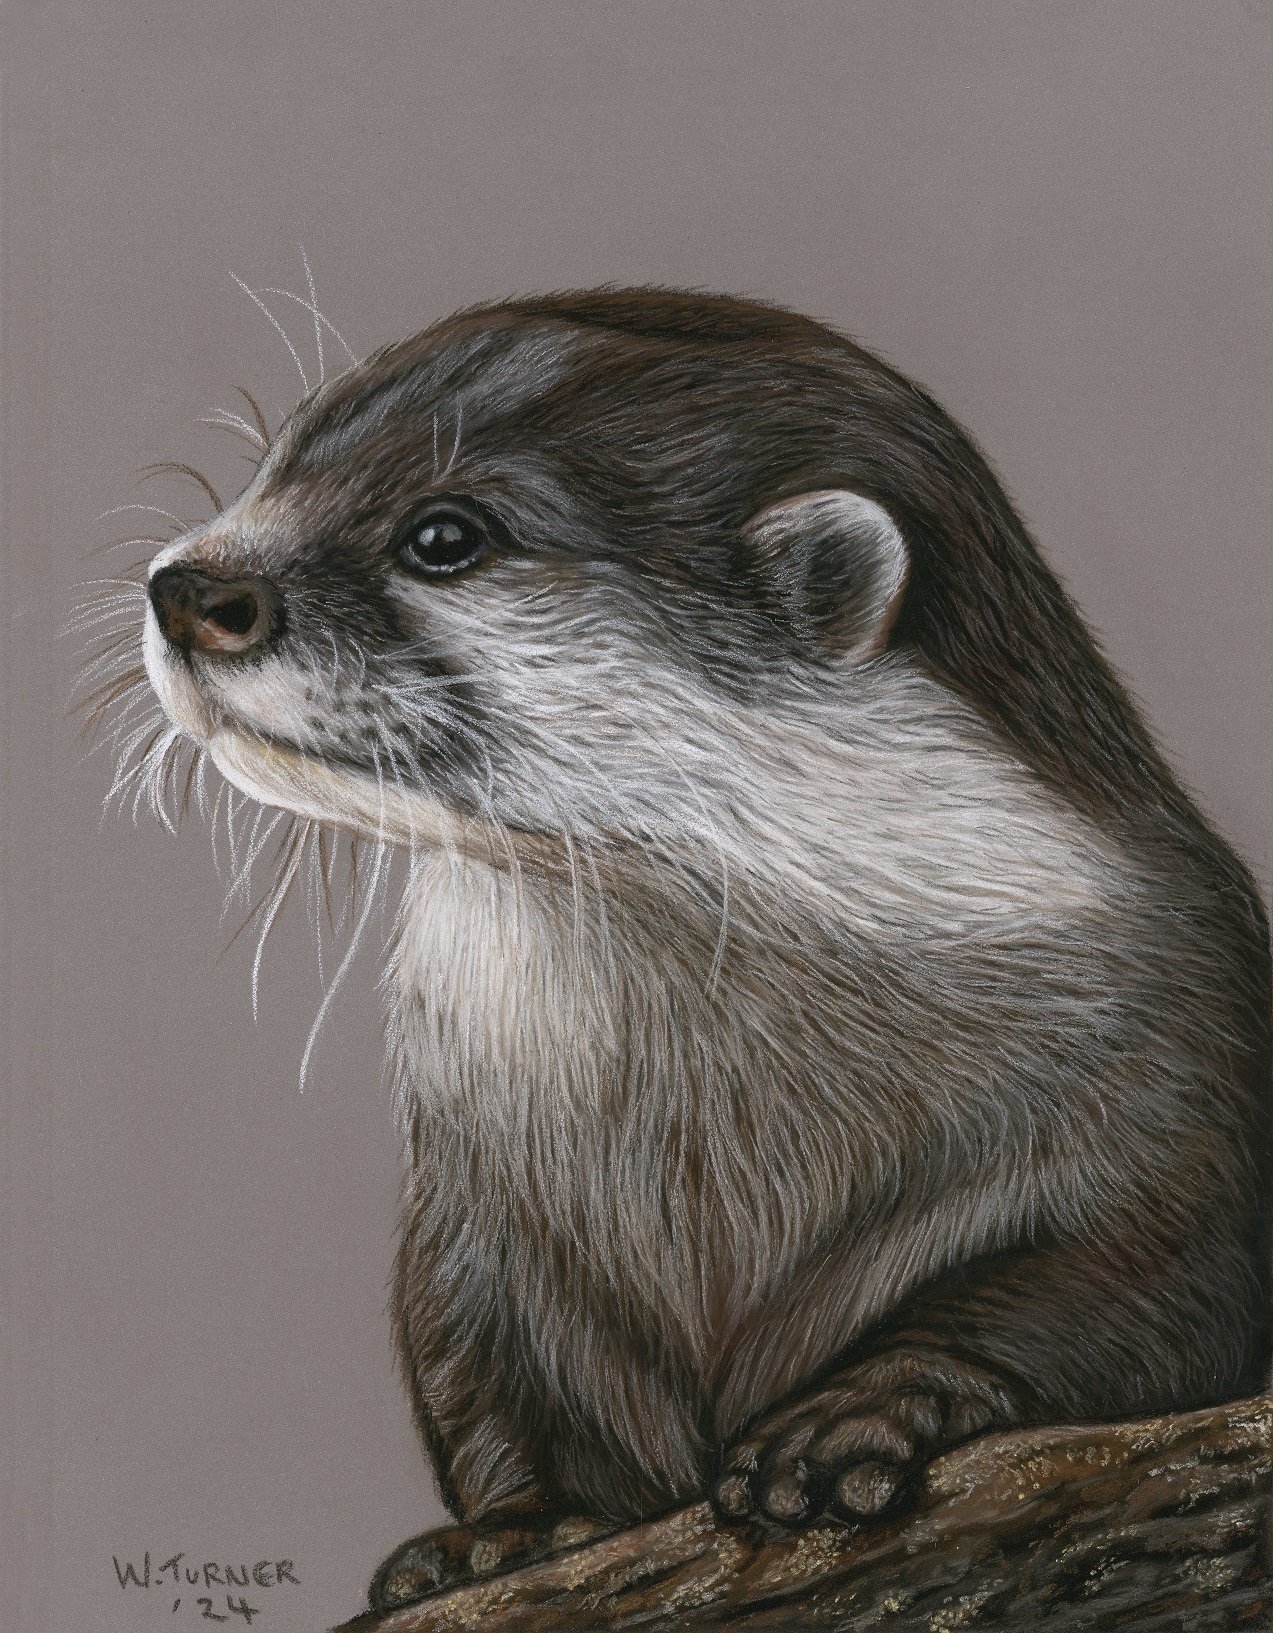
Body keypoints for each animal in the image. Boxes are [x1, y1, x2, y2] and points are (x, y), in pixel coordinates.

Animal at [128, 288, 1269, 1612]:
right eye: (273, 465)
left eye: (445, 535)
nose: (191, 586)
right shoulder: (469, 1220)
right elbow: (475, 1369)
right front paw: (511, 1526)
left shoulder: (1183, 1068)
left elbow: (1131, 1289)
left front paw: (853, 1414)